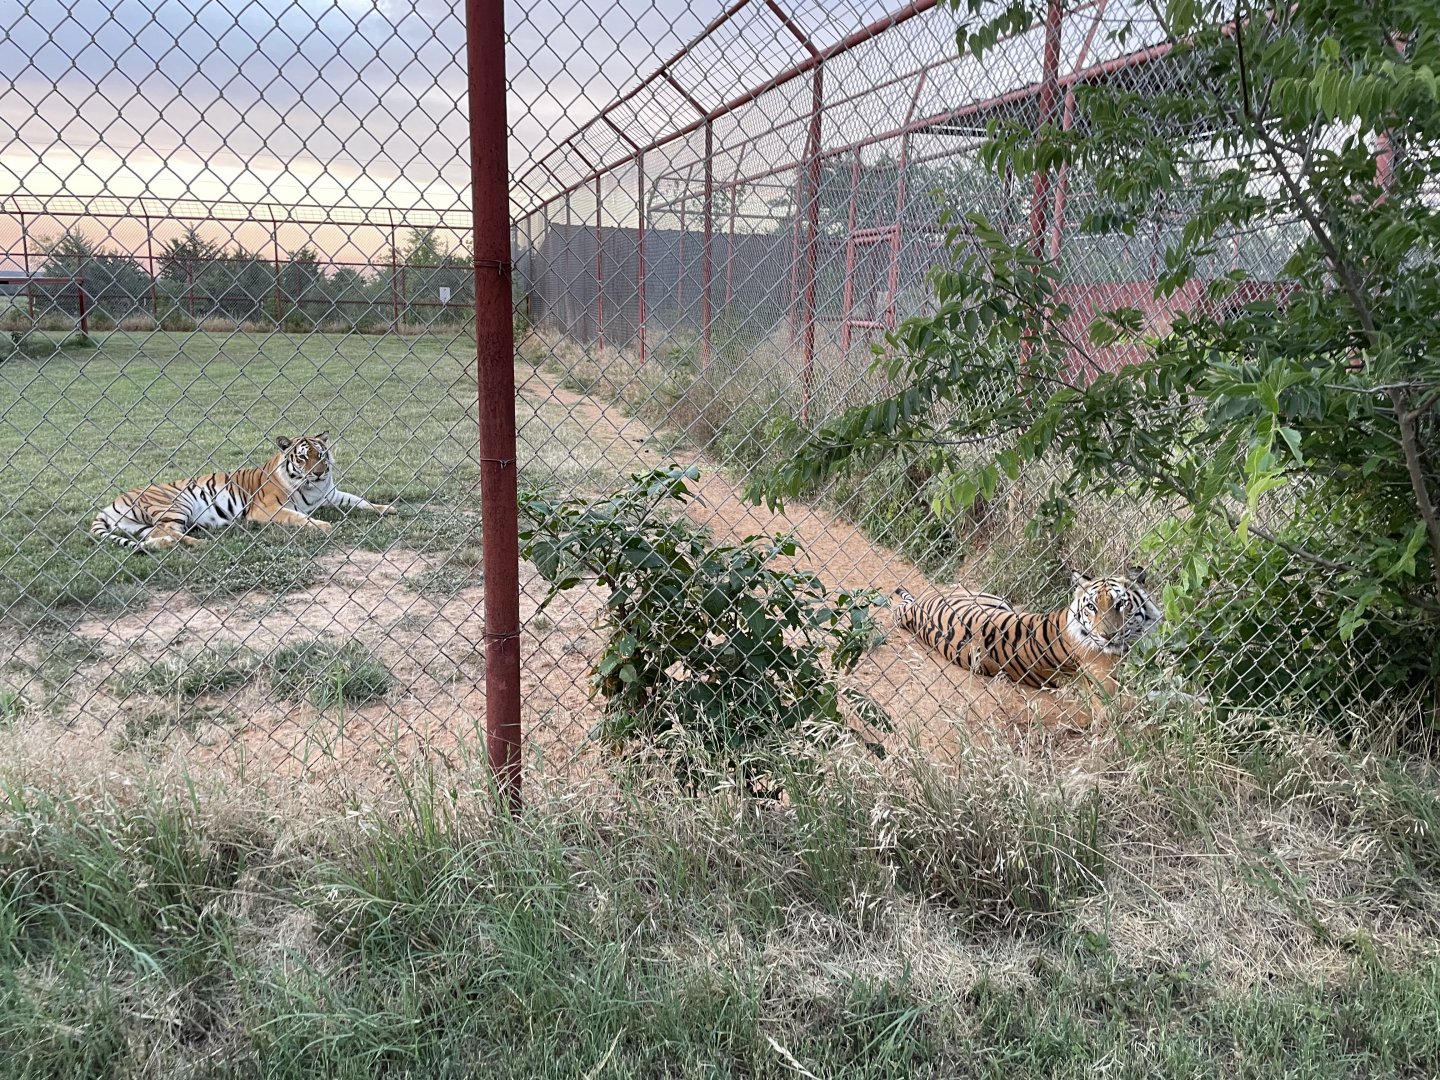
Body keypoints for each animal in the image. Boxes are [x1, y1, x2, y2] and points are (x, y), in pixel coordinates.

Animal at [89, 431, 393, 552]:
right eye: (303, 458)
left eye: (320, 454)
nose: (319, 472)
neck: (313, 486)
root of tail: (111, 502)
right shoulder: (266, 509)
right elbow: (298, 517)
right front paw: (322, 525)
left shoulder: (331, 494)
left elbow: (360, 500)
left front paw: (386, 509)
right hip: (175, 503)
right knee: (168, 531)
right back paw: (199, 543)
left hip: (140, 526)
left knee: (156, 535)